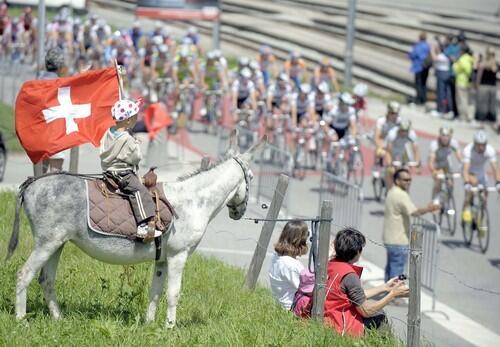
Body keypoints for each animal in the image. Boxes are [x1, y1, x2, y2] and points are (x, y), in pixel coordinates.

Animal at [5, 133, 266, 328]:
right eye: (252, 177)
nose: (239, 212)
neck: (193, 202)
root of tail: (33, 183)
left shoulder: (162, 260)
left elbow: (155, 292)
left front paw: (150, 326)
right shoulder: (178, 256)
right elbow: (174, 293)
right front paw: (170, 328)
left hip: (57, 244)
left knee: (46, 279)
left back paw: (58, 318)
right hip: (46, 243)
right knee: (24, 274)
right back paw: (21, 320)